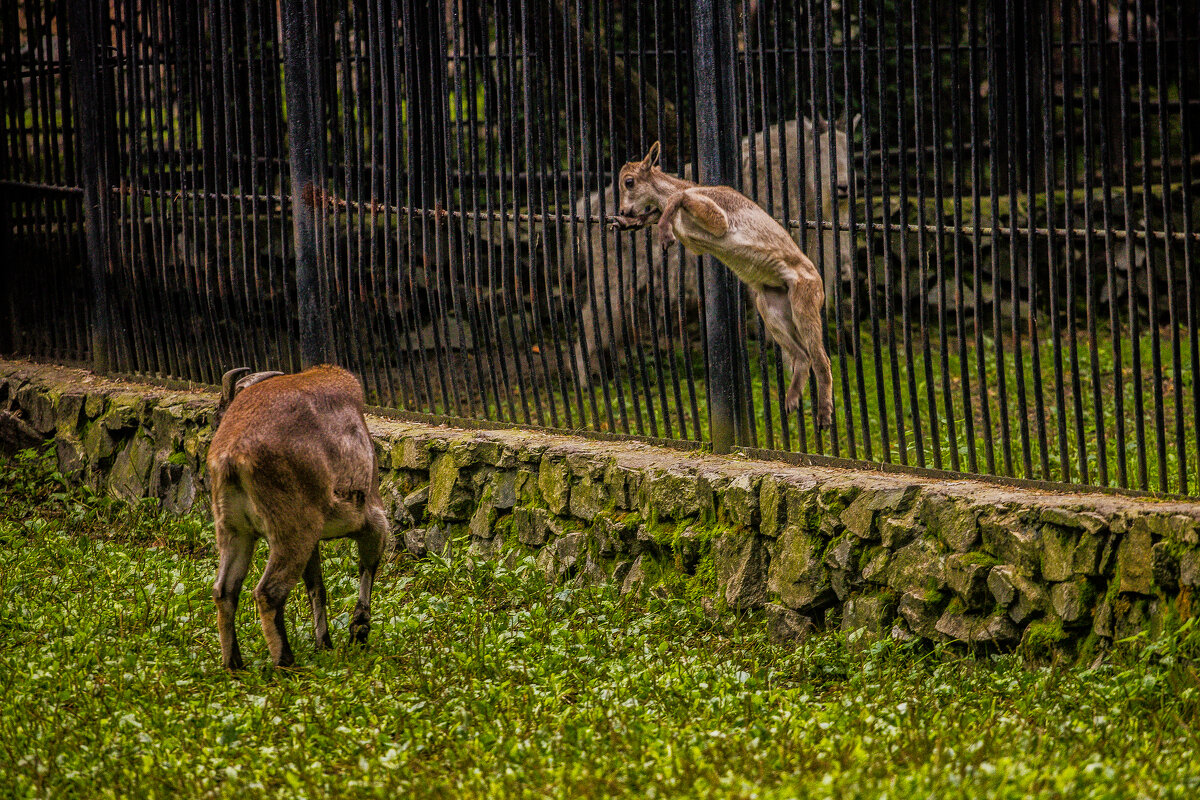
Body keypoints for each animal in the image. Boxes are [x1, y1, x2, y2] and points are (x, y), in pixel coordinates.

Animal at [207, 367, 388, 666]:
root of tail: (231, 456)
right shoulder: (371, 519)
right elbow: (367, 568)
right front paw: (358, 633)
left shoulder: (313, 541)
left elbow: (316, 587)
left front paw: (324, 643)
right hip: (291, 530)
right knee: (269, 592)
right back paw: (286, 662)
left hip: (235, 530)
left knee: (225, 590)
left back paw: (235, 665)